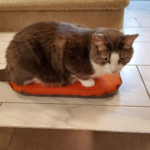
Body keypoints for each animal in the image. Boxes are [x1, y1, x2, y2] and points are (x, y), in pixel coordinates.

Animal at [0, 22, 138, 88]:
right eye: (106, 59)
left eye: (122, 59)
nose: (114, 71)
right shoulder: (70, 56)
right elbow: (77, 73)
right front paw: (88, 81)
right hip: (28, 56)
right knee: (18, 81)